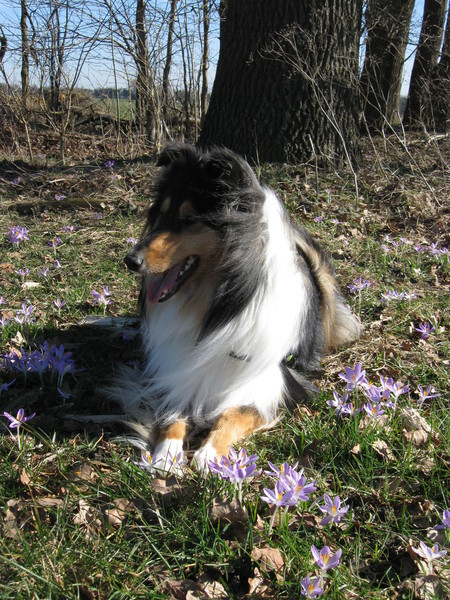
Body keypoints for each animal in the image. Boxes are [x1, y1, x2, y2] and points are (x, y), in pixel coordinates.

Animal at [113, 144, 360, 471]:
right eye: (162, 213)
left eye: (189, 219)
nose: (130, 261)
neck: (214, 309)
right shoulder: (177, 369)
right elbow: (172, 411)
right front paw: (166, 452)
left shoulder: (278, 381)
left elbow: (237, 412)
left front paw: (209, 452)